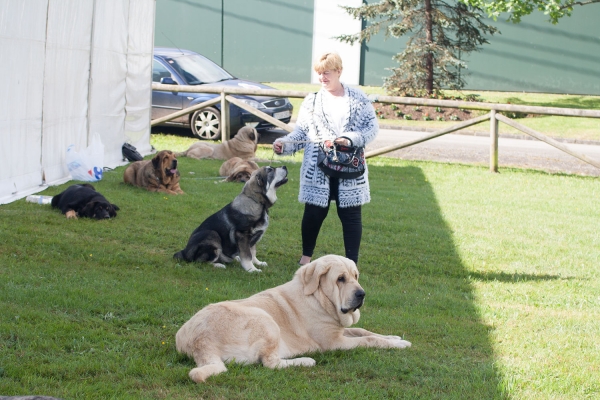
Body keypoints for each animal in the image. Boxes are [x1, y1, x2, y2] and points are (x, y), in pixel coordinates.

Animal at [175, 255, 412, 382]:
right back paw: (305, 360)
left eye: (356, 276)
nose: (361, 294)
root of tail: (200, 341)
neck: (320, 299)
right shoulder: (334, 342)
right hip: (266, 320)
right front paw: (397, 345)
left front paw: (395, 338)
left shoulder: (339, 330)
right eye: (340, 279)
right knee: (271, 364)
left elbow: (365, 331)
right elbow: (369, 339)